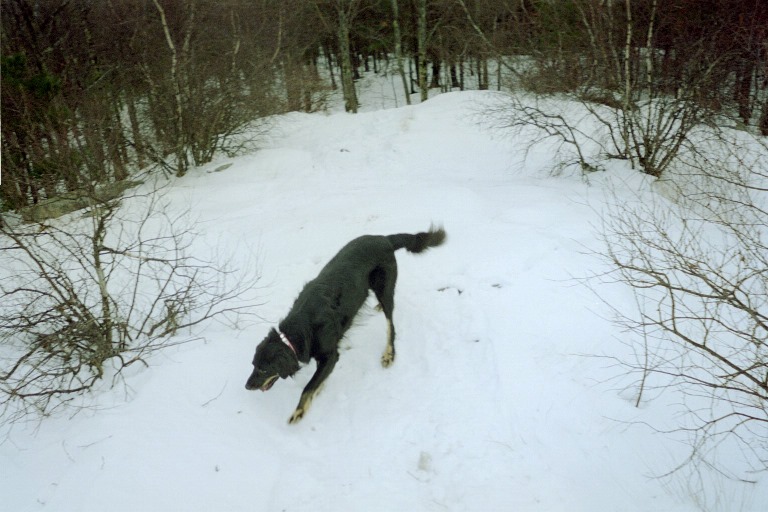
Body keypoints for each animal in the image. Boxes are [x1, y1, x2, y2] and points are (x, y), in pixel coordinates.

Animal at [245, 225, 446, 423]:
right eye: (253, 364)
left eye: (263, 370)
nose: (247, 386)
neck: (297, 331)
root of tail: (383, 238)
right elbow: (317, 381)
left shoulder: (330, 355)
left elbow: (309, 386)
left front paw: (299, 411)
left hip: (384, 287)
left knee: (391, 325)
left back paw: (389, 353)